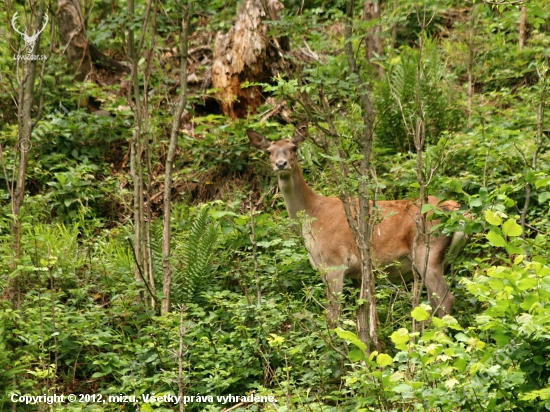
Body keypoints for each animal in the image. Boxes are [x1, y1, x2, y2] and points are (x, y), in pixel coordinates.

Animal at [248, 119, 468, 322]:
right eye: (269, 151)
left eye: (293, 148)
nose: (281, 164)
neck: (312, 215)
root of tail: (457, 212)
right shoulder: (356, 273)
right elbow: (361, 310)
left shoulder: (334, 261)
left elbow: (333, 314)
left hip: (427, 250)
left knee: (445, 299)